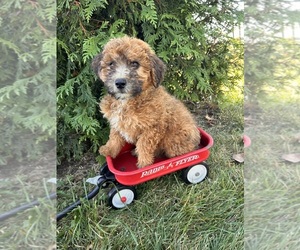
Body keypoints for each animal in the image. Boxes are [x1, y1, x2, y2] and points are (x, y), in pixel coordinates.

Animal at [91, 36, 199, 168]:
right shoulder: (116, 122)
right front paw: (109, 150)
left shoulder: (153, 128)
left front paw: (144, 165)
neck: (129, 100)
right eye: (111, 64)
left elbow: (144, 145)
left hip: (175, 141)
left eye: (135, 64)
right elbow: (114, 137)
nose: (120, 82)